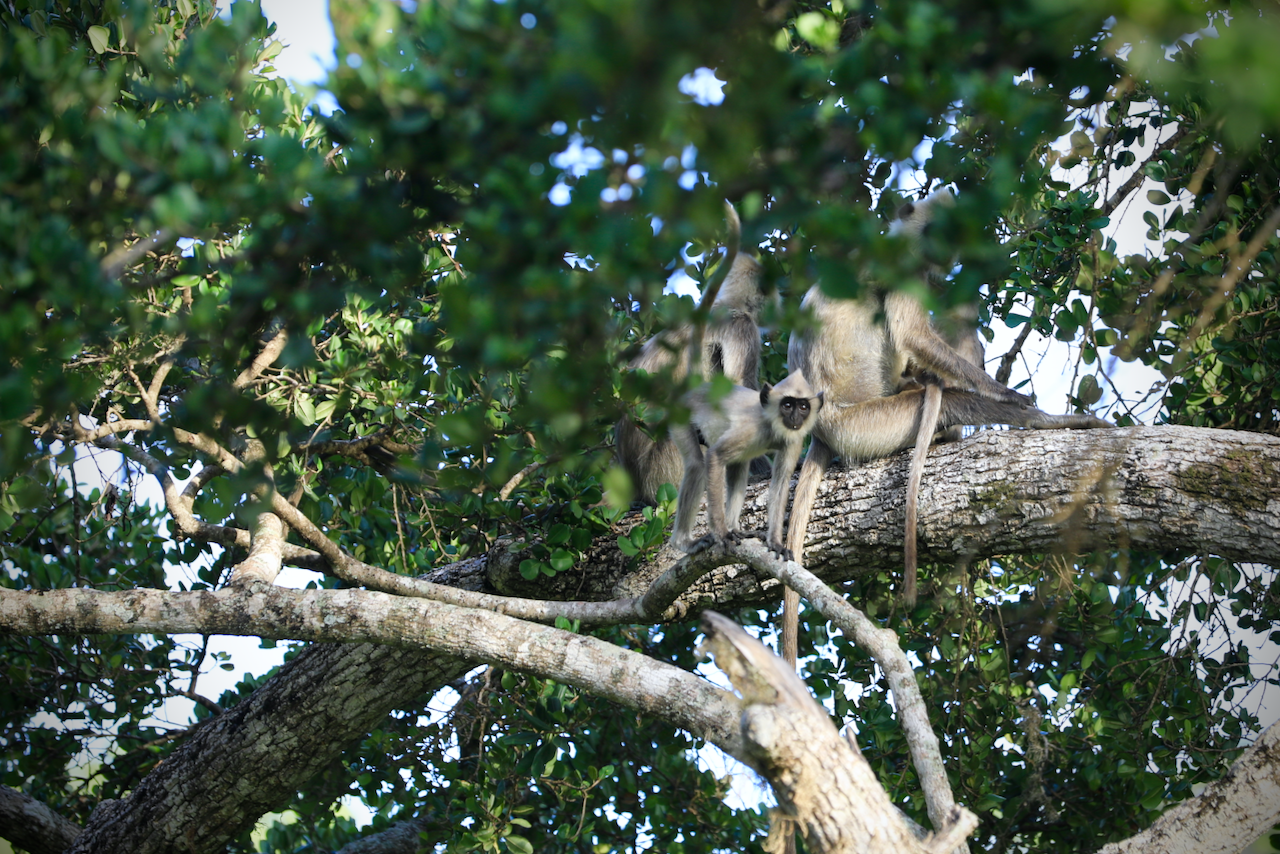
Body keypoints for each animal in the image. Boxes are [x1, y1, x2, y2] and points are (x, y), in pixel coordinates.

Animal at [773, 193, 1116, 665]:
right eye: (934, 229)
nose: (944, 249)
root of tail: (821, 432)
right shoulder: (904, 268)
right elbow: (914, 336)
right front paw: (1009, 396)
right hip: (864, 426)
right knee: (947, 398)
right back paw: (1039, 421)